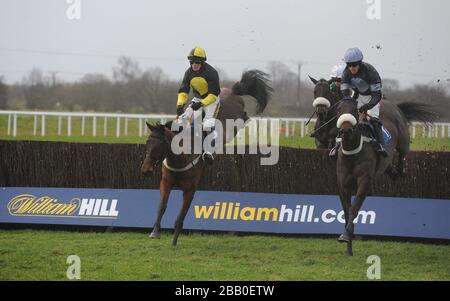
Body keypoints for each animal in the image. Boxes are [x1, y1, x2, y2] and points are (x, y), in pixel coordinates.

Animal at [141, 69, 274, 244]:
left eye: (159, 145)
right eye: (147, 142)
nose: (145, 170)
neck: (180, 158)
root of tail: (232, 91)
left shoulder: (190, 188)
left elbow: (181, 215)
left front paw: (174, 240)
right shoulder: (166, 181)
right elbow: (162, 206)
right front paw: (155, 231)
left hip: (232, 119)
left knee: (238, 119)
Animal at [334, 98, 436, 253]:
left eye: (354, 110)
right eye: (338, 110)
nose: (345, 130)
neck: (353, 151)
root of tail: (393, 104)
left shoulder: (364, 181)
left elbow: (354, 209)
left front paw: (346, 236)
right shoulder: (343, 185)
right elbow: (346, 212)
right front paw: (348, 246)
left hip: (403, 141)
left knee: (401, 155)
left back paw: (398, 171)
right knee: (388, 163)